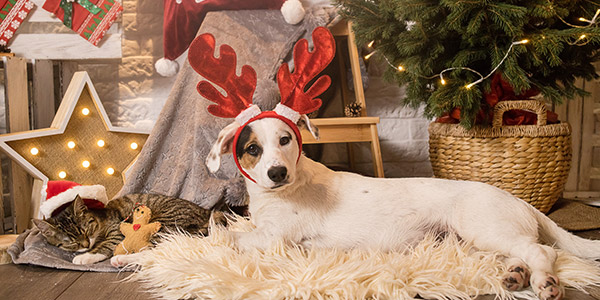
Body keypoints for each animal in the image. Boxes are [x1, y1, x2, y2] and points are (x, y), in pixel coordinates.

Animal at [31, 193, 223, 264]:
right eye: (70, 242)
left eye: (86, 231)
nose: (85, 245)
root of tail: (205, 212)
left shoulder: (117, 229)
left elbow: (107, 244)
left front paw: (86, 256)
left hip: (163, 222)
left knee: (156, 249)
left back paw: (121, 260)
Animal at [205, 115, 600, 300]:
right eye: (252, 149)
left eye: (285, 140)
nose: (277, 172)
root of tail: (521, 202)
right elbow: (233, 227)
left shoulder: (275, 238)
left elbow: (230, 237)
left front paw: (217, 231)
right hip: (482, 241)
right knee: (523, 251)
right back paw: (517, 275)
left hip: (484, 228)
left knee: (544, 251)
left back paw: (545, 282)